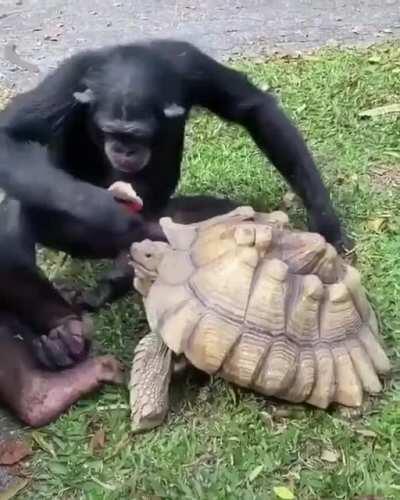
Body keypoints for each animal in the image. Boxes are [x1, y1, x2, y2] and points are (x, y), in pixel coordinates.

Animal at [0, 38, 348, 378]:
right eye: (111, 131)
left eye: (137, 135)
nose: (124, 149)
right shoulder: (68, 78)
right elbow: (10, 135)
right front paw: (105, 211)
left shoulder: (191, 63)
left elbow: (252, 107)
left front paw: (324, 217)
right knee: (16, 217)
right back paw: (60, 334)